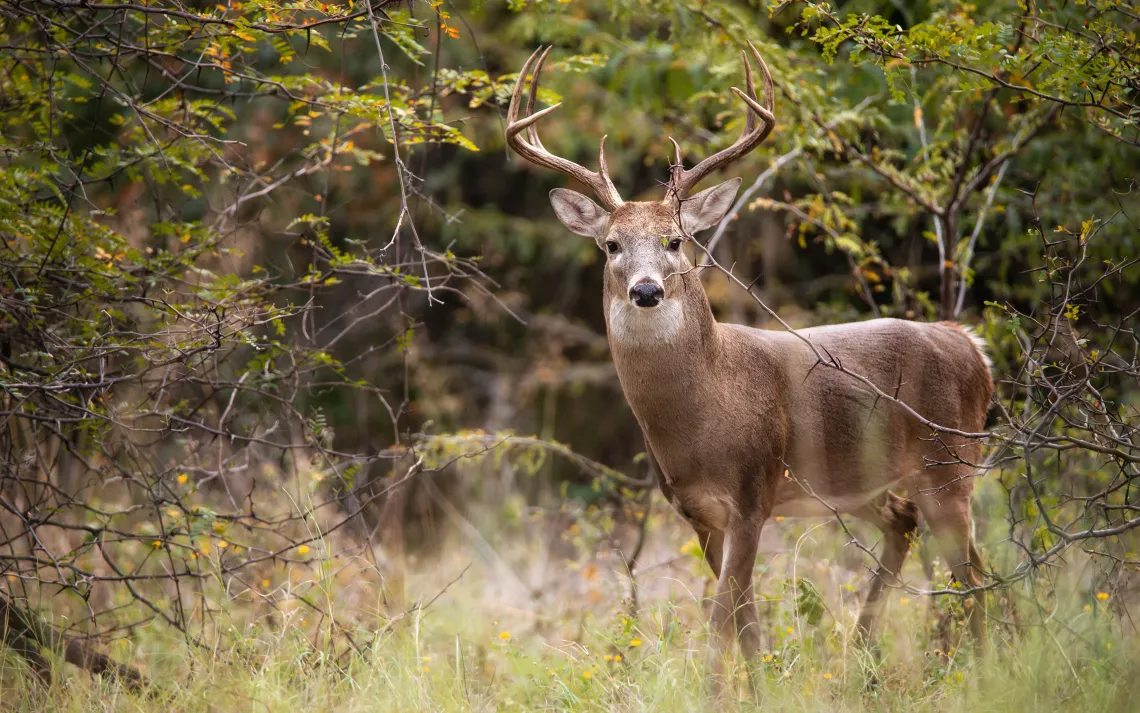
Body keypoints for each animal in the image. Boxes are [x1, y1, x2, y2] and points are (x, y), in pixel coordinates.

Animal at [505, 44, 993, 670]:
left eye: (676, 241)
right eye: (611, 245)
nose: (646, 290)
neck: (706, 409)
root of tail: (971, 345)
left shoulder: (753, 492)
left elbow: (721, 619)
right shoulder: (698, 511)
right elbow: (745, 620)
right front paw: (759, 679)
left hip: (950, 464)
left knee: (974, 579)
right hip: (863, 482)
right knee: (916, 531)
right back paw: (864, 655)